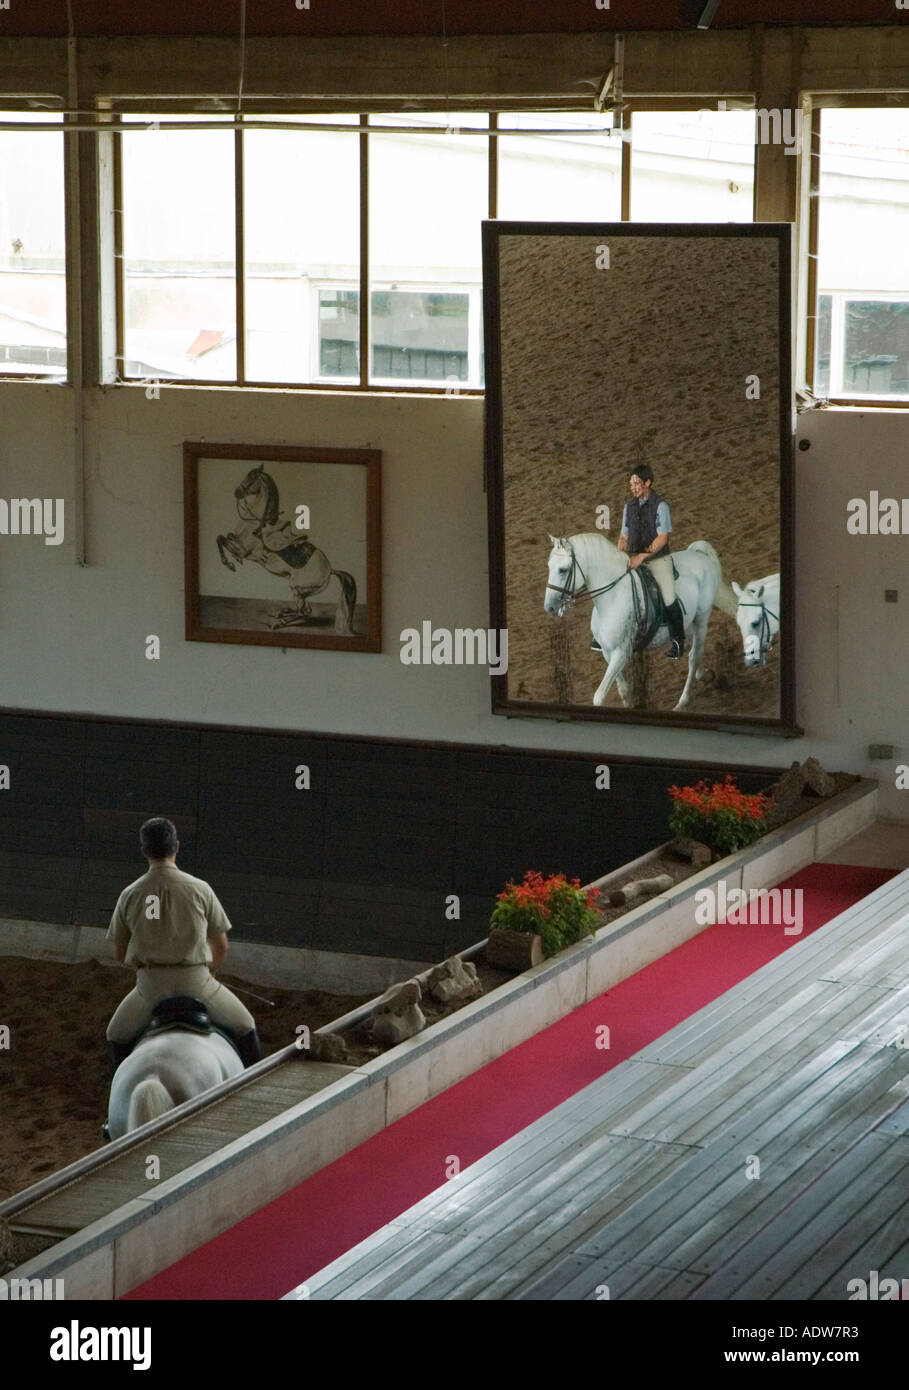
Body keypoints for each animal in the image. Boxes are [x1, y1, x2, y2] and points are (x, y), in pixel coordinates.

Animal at [547, 528, 733, 711]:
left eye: (563, 570)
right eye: (549, 566)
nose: (549, 607)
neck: (613, 597)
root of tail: (698, 555)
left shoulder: (621, 652)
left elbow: (599, 696)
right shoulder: (608, 652)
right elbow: (623, 690)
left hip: (701, 618)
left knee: (694, 656)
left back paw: (683, 702)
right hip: (687, 623)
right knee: (694, 647)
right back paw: (705, 674)